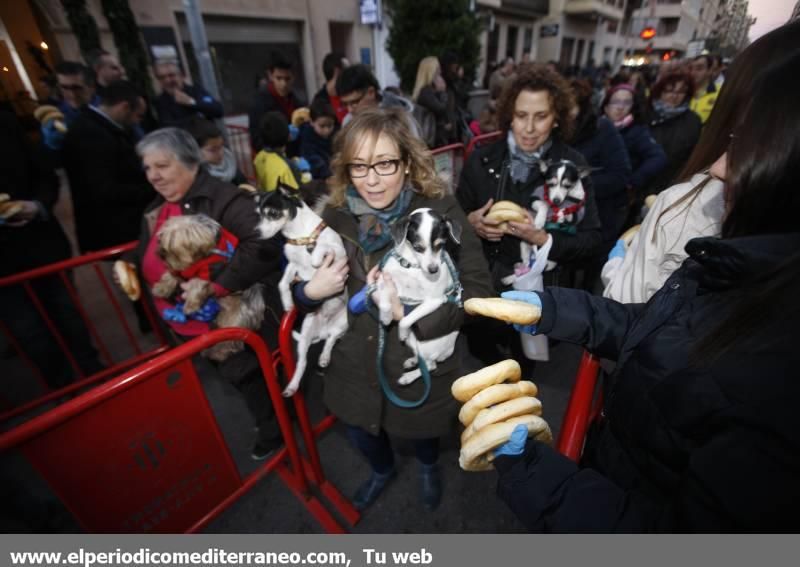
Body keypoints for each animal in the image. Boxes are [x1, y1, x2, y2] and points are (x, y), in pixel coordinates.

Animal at [153, 215, 268, 362]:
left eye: (172, 246)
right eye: (161, 239)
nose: (161, 254)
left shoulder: (209, 270)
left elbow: (196, 284)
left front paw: (190, 305)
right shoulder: (184, 270)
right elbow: (172, 274)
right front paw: (161, 288)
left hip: (235, 319)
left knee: (231, 341)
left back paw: (217, 353)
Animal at [253, 187, 346, 400]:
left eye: (273, 213)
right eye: (258, 214)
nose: (256, 232)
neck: (301, 238)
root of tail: (323, 331)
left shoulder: (338, 254)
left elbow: (322, 248)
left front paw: (316, 259)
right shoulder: (292, 265)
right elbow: (282, 283)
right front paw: (287, 303)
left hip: (342, 324)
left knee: (331, 340)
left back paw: (324, 356)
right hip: (305, 338)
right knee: (303, 363)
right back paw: (293, 386)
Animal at [376, 207, 462, 386]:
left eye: (440, 245)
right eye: (418, 247)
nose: (433, 270)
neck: (413, 266)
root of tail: (448, 350)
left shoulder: (434, 301)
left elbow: (406, 319)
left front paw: (401, 331)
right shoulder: (384, 280)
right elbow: (384, 301)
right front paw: (385, 317)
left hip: (425, 345)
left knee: (430, 366)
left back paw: (408, 377)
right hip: (414, 341)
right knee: (424, 360)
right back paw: (413, 361)